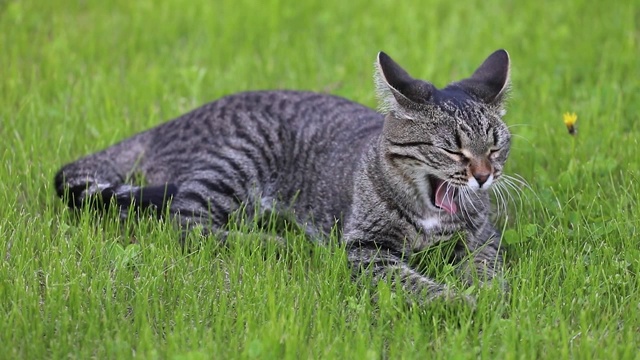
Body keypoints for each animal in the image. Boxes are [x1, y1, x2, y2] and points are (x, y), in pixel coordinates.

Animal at [56, 49, 516, 306]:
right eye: (452, 149)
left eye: (496, 147)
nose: (484, 176)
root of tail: (168, 124)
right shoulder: (365, 250)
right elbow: (411, 282)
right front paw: (460, 302)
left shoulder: (483, 235)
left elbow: (486, 266)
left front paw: (488, 294)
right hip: (237, 161)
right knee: (186, 220)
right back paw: (274, 243)